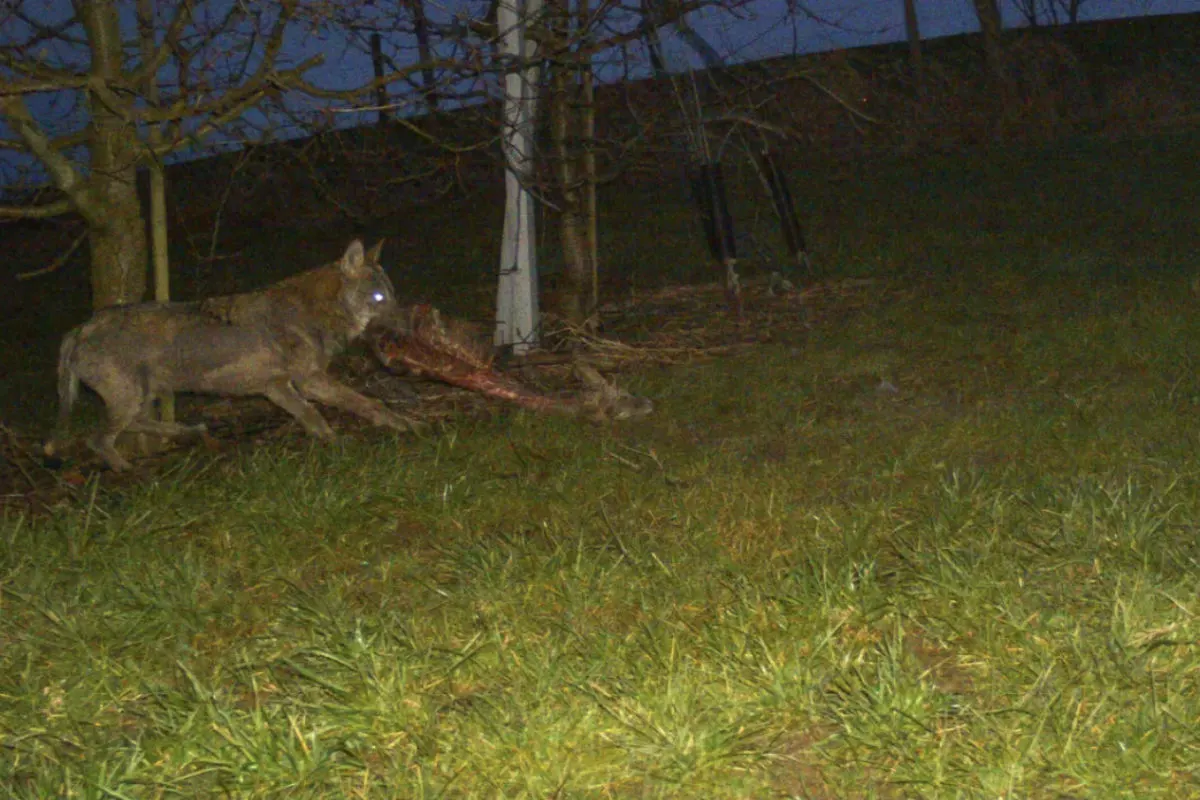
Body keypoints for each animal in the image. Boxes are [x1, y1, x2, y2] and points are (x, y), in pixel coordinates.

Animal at [46, 239, 418, 472]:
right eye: (379, 298)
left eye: (393, 294)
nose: (409, 326)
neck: (315, 313)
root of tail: (79, 329)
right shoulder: (309, 381)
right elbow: (365, 402)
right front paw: (400, 424)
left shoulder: (277, 388)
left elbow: (310, 416)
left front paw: (331, 441)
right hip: (129, 397)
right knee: (98, 439)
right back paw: (129, 469)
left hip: (142, 394)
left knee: (134, 423)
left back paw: (187, 431)